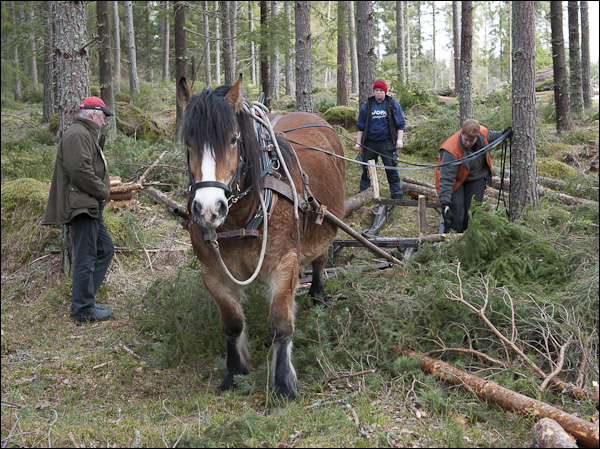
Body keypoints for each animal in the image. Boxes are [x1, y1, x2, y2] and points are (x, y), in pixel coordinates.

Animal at [176, 74, 344, 400]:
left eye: (233, 139)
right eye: (188, 143)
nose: (208, 209)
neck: (242, 217)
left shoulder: (285, 263)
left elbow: (280, 324)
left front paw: (283, 383)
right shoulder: (213, 272)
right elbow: (232, 324)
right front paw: (234, 371)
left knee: (320, 258)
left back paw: (317, 293)